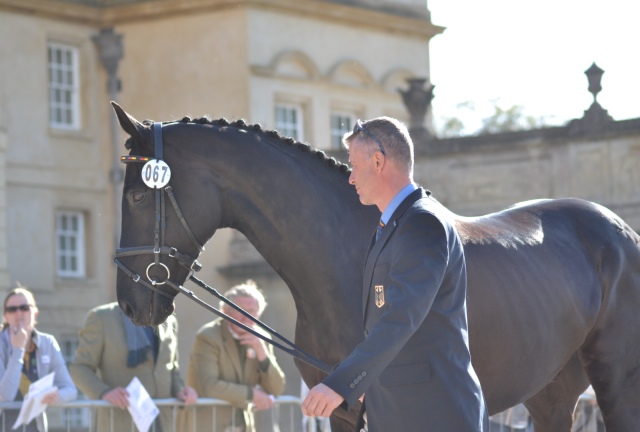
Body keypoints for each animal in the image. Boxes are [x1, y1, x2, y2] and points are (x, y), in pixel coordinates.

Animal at [112, 103, 640, 430]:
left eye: (137, 195)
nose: (130, 304)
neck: (339, 254)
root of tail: (620, 229)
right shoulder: (341, 410)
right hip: (552, 394)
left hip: (616, 380)